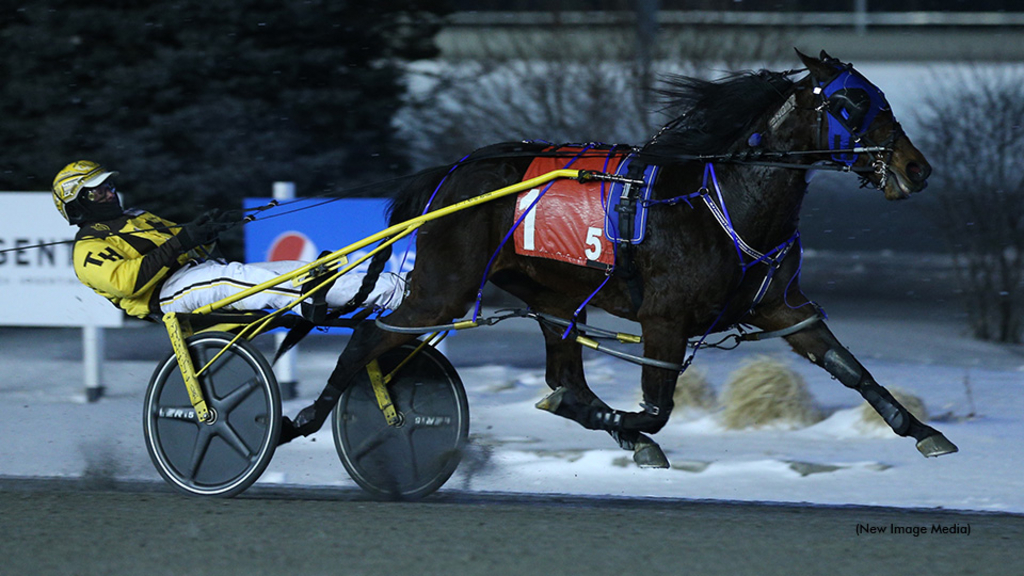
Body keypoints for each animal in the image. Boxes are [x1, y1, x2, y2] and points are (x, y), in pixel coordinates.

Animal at [280, 49, 958, 467]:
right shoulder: (665, 318)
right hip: (444, 289)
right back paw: (301, 417)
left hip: (553, 299)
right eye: (851, 104)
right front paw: (632, 429)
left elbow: (851, 368)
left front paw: (924, 432)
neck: (726, 197)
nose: (916, 167)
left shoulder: (782, 309)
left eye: (880, 98)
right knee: (371, 335)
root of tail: (448, 173)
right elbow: (657, 410)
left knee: (563, 376)